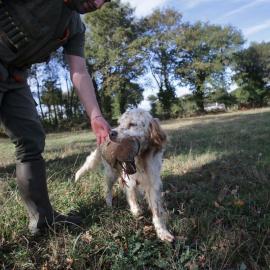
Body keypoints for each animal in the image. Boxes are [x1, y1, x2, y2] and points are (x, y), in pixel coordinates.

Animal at [75, 108, 174, 242]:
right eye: (119, 123)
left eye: (132, 124)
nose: (111, 133)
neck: (141, 158)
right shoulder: (129, 178)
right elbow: (132, 197)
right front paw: (135, 209)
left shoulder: (153, 183)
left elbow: (156, 210)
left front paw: (162, 232)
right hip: (110, 174)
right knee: (108, 189)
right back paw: (109, 203)